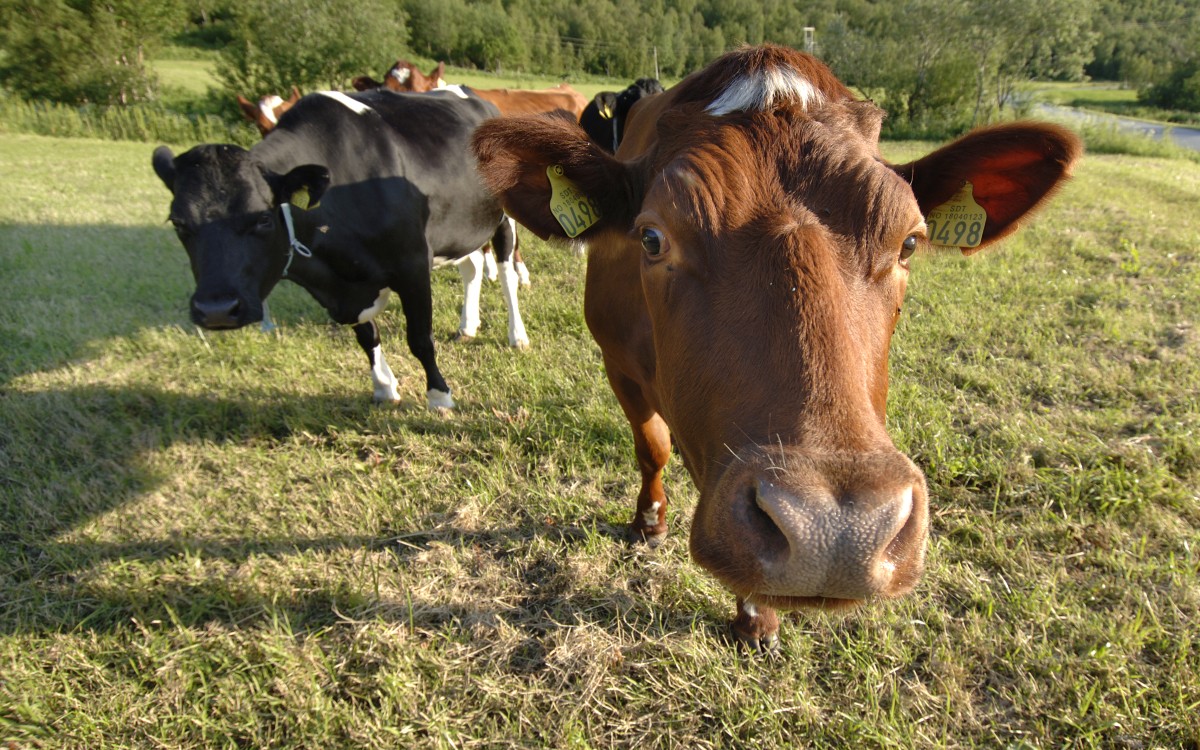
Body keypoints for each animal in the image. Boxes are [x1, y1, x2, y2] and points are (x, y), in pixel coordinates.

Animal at [472, 43, 1084, 648]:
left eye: (909, 242)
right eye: (651, 237)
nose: (837, 533)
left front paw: (755, 614)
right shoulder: (616, 361)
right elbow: (652, 447)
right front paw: (649, 523)